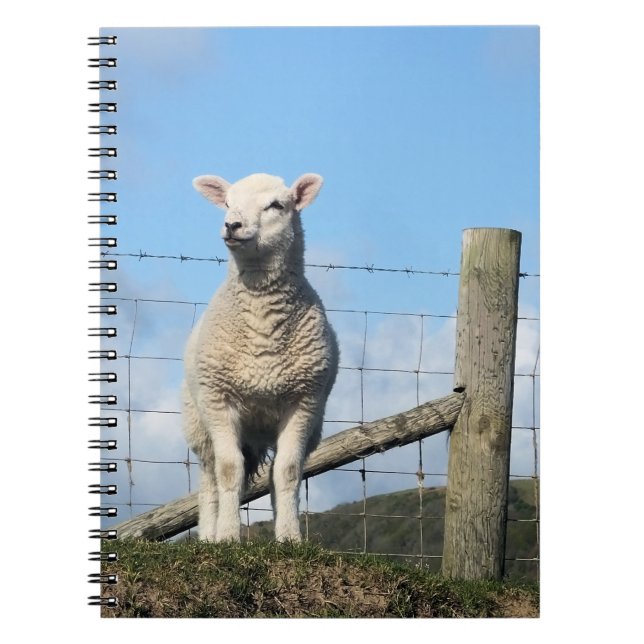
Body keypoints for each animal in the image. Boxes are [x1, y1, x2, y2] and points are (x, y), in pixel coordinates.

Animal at [183, 172, 339, 542]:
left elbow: (288, 472)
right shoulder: (218, 399)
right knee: (209, 479)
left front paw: (290, 538)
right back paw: (208, 536)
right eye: (227, 202)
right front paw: (227, 536)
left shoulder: (304, 402)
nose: (232, 225)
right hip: (199, 423)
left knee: (272, 474)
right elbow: (228, 471)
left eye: (276, 205)